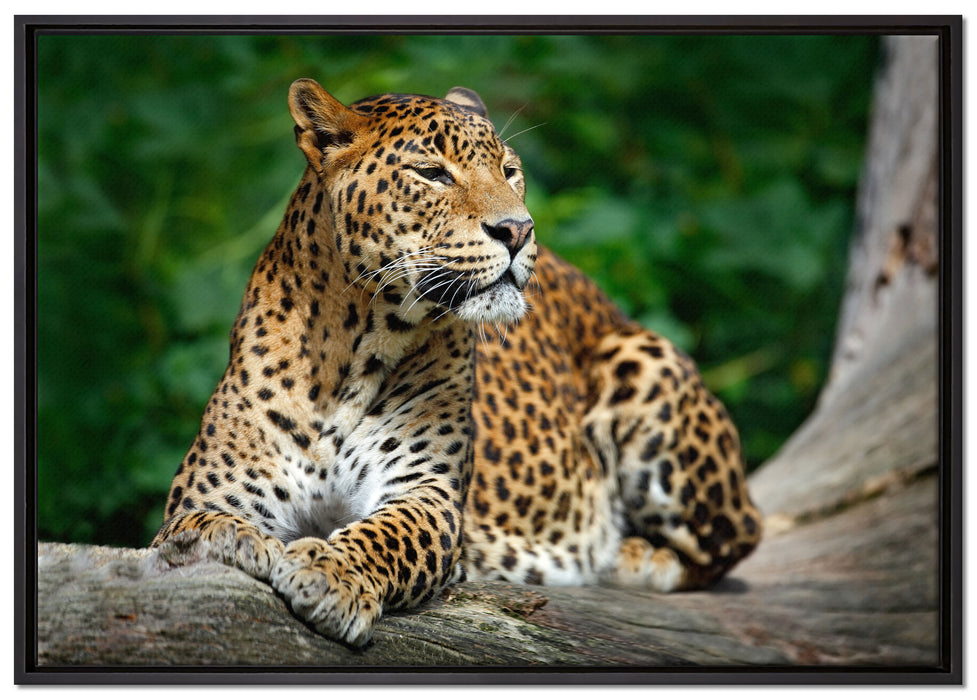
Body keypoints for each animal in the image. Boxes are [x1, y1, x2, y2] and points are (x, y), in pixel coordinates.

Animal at [152, 78, 762, 647]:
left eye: (510, 171)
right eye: (432, 174)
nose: (518, 229)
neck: (351, 349)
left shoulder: (428, 493)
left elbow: (385, 536)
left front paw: (330, 573)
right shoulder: (212, 488)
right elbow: (195, 523)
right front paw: (228, 540)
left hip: (645, 361)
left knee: (737, 537)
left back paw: (630, 555)